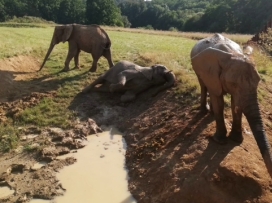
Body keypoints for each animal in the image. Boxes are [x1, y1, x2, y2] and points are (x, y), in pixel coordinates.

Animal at [190, 33, 272, 178]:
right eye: (233, 84)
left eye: (258, 81)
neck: (231, 54)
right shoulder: (211, 72)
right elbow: (219, 101)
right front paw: (219, 141)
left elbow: (235, 104)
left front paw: (236, 140)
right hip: (197, 68)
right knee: (203, 85)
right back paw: (204, 111)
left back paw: (211, 114)